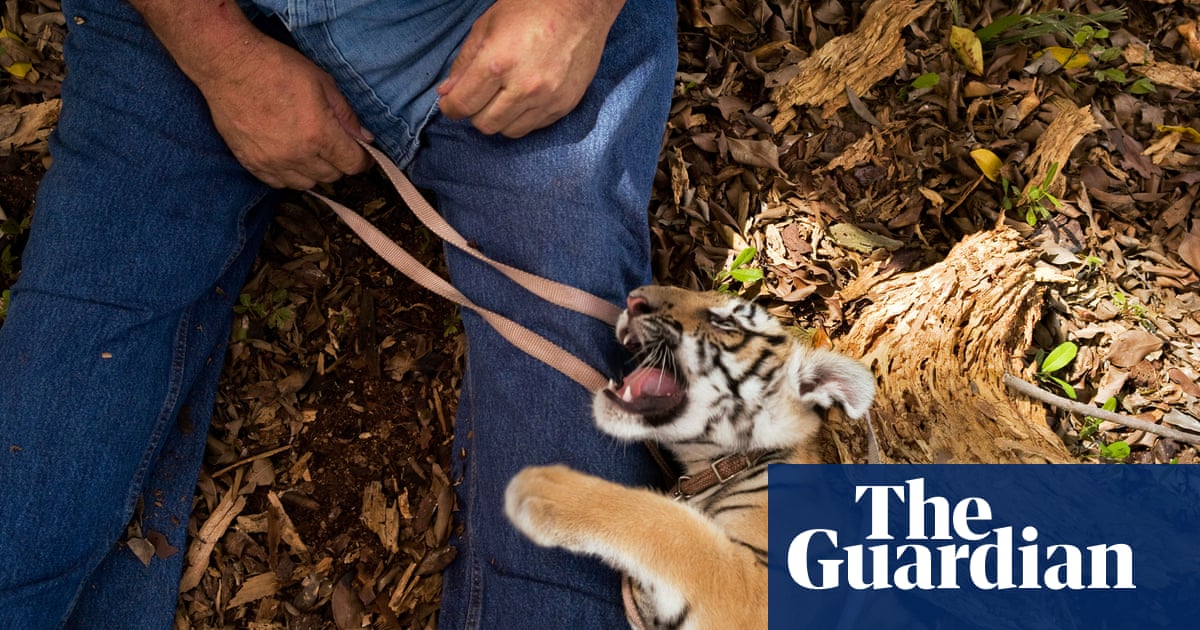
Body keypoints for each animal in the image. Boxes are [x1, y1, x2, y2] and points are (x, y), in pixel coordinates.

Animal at [505, 285, 876, 629]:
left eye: (726, 321)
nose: (634, 300)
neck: (718, 466)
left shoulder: (758, 591)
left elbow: (675, 530)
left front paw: (547, 489)